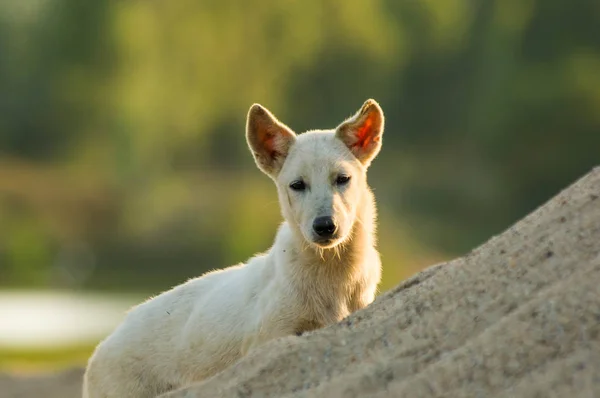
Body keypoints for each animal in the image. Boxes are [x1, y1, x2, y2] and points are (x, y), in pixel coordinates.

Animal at [83, 98, 384, 396]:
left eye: (342, 179)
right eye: (297, 185)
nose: (324, 226)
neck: (333, 273)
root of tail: (98, 353)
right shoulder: (271, 335)